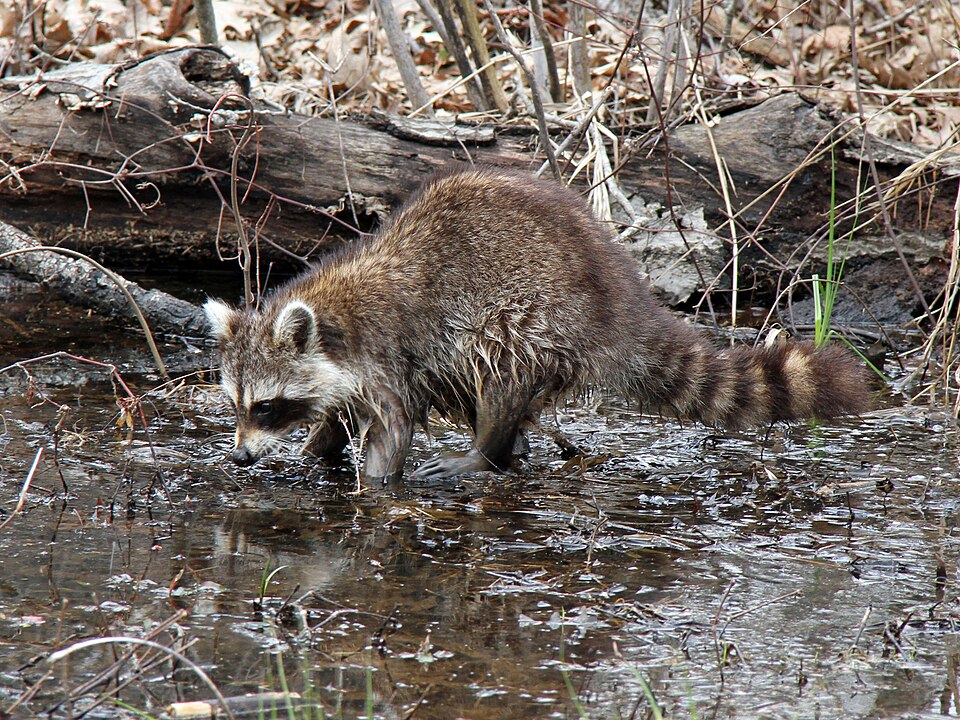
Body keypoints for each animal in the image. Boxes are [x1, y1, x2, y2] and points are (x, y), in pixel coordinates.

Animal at [204, 167, 868, 480]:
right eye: (236, 404)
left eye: (266, 406)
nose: (239, 458)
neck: (333, 311)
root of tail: (621, 299)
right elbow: (340, 413)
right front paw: (317, 451)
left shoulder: (388, 354)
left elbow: (392, 426)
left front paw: (375, 482)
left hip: (536, 318)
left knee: (498, 365)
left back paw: (486, 450)